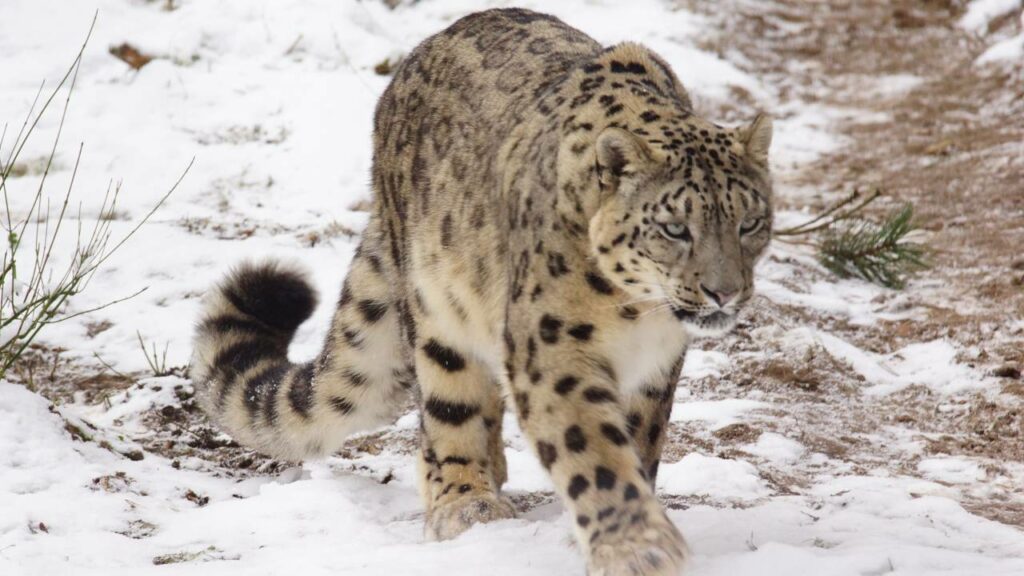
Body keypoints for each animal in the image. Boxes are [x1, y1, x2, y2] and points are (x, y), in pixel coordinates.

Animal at [191, 8, 773, 575]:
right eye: (674, 228)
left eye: (750, 222)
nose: (724, 292)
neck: (636, 316)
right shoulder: (553, 349)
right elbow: (593, 450)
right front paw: (636, 548)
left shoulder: (655, 369)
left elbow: (637, 444)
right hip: (438, 319)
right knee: (448, 415)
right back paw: (466, 502)